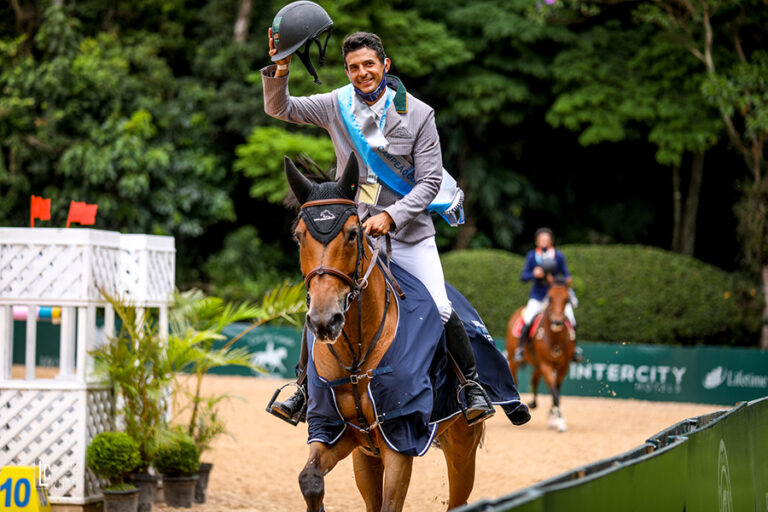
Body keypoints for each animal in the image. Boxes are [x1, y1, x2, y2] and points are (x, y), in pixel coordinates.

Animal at [284, 155, 484, 512]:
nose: (324, 321)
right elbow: (310, 481)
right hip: (366, 455)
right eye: (299, 236)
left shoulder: (400, 437)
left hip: (463, 444)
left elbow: (392, 503)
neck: (355, 357)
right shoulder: (334, 431)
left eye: (352, 234)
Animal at [508, 282, 572, 434]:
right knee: (516, 379)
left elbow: (556, 391)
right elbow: (554, 392)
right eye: (550, 298)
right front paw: (560, 422)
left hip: (538, 363)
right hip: (514, 360)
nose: (557, 322)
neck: (555, 338)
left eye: (567, 299)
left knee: (534, 377)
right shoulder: (546, 364)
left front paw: (555, 418)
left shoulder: (563, 366)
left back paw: (533, 403)